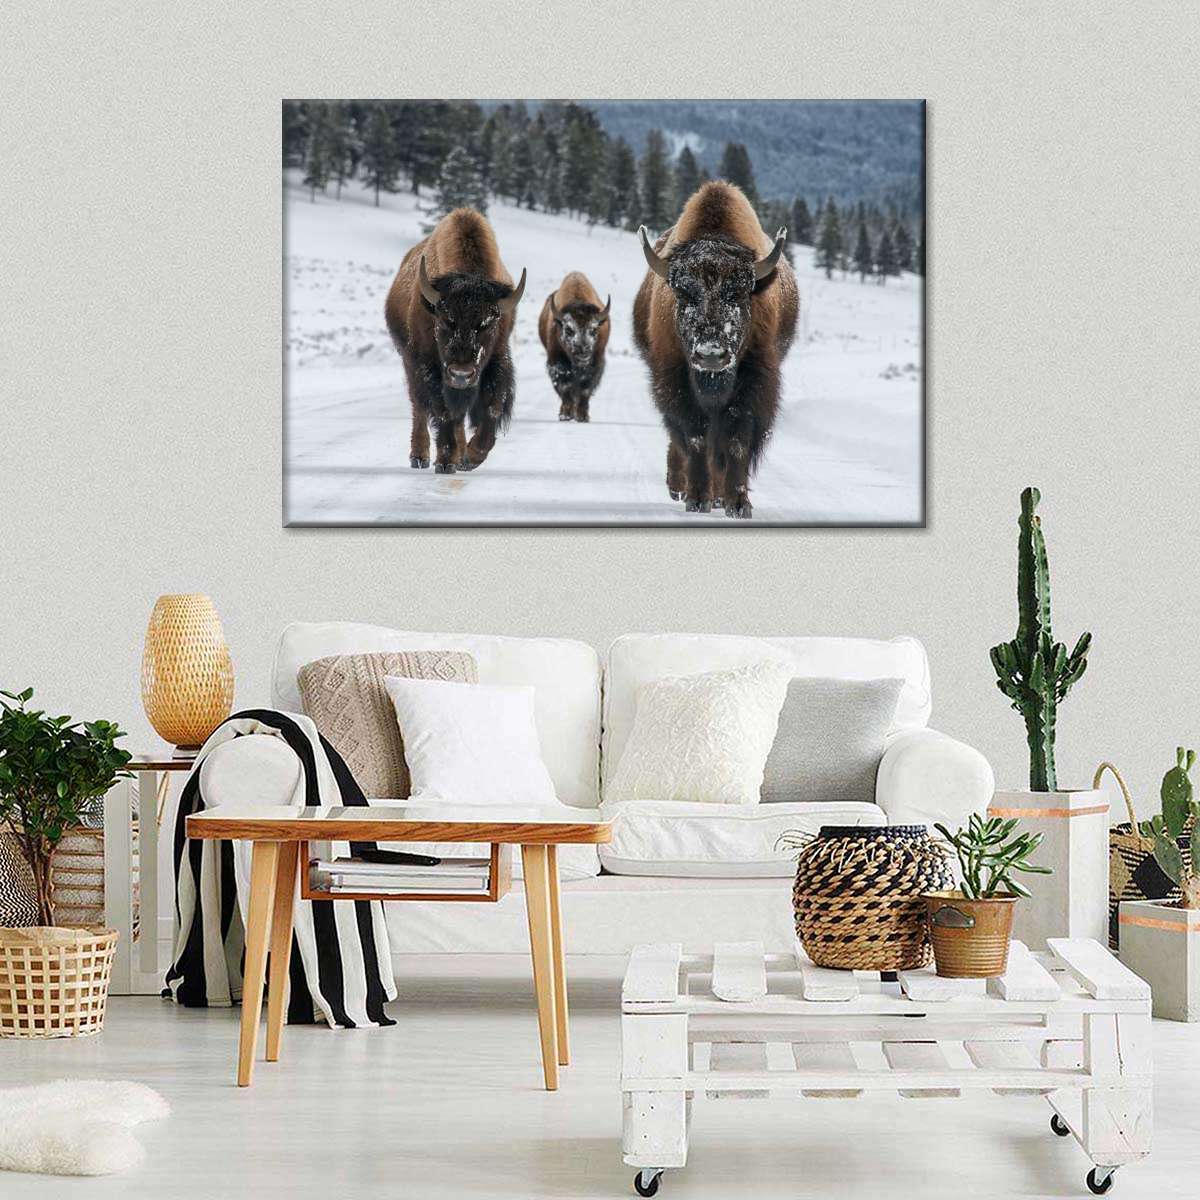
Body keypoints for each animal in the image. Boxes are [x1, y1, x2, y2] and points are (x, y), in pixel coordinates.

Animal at [385, 208, 526, 473]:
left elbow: (492, 407)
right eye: (444, 320)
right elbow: (444, 412)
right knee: (419, 406)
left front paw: (472, 456)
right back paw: (420, 457)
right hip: (408, 360)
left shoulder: (497, 359)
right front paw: (447, 461)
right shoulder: (428, 366)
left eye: (487, 324)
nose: (461, 374)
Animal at [537, 272, 611, 422]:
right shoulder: (556, 363)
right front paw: (565, 415)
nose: (583, 350)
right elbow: (565, 388)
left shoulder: (595, 364)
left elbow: (585, 389)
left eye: (594, 329)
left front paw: (582, 416)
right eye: (569, 329)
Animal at [632, 181, 798, 518]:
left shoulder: (753, 386)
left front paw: (737, 503)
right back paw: (680, 487)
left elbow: (734, 441)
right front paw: (697, 499)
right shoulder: (675, 382)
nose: (711, 354)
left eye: (739, 293)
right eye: (683, 293)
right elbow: (695, 438)